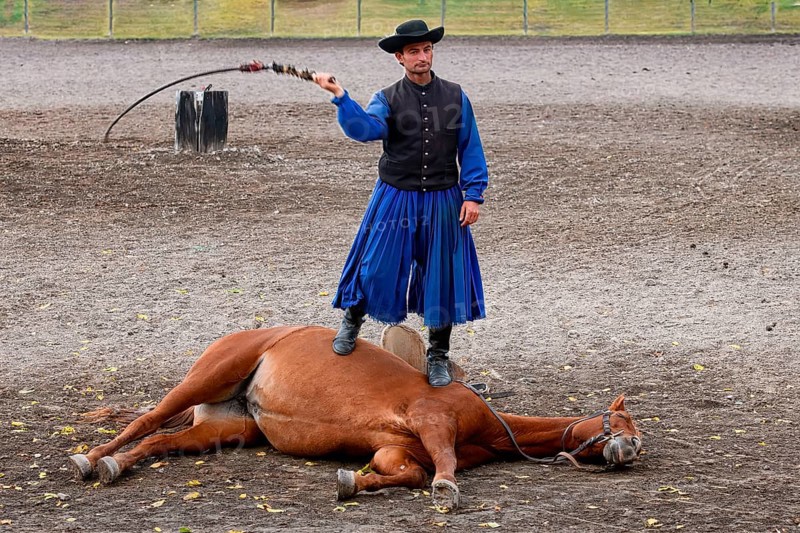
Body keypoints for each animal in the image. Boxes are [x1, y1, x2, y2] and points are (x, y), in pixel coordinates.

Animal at [69, 325, 642, 510]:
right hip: (207, 378)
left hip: (226, 427)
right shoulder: (433, 419)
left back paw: (114, 466)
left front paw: (355, 481)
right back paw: (91, 458)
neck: (491, 425)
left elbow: (405, 472)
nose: (634, 449)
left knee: (159, 443)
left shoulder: (397, 448)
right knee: (144, 422)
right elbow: (442, 465)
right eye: (624, 424)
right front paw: (448, 489)